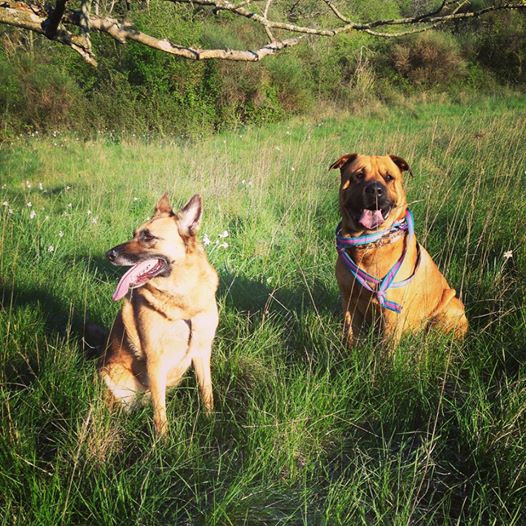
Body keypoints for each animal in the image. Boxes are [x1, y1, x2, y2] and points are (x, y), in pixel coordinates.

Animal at [98, 193, 219, 437]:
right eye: (134, 233)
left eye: (148, 237)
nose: (109, 255)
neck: (182, 300)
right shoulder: (156, 360)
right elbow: (160, 412)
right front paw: (162, 441)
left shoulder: (202, 352)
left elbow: (206, 392)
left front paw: (210, 423)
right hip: (113, 375)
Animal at [330, 153, 468, 347]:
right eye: (359, 175)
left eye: (389, 177)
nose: (375, 190)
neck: (368, 245)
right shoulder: (349, 301)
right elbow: (350, 335)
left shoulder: (391, 312)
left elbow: (386, 348)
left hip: (450, 308)